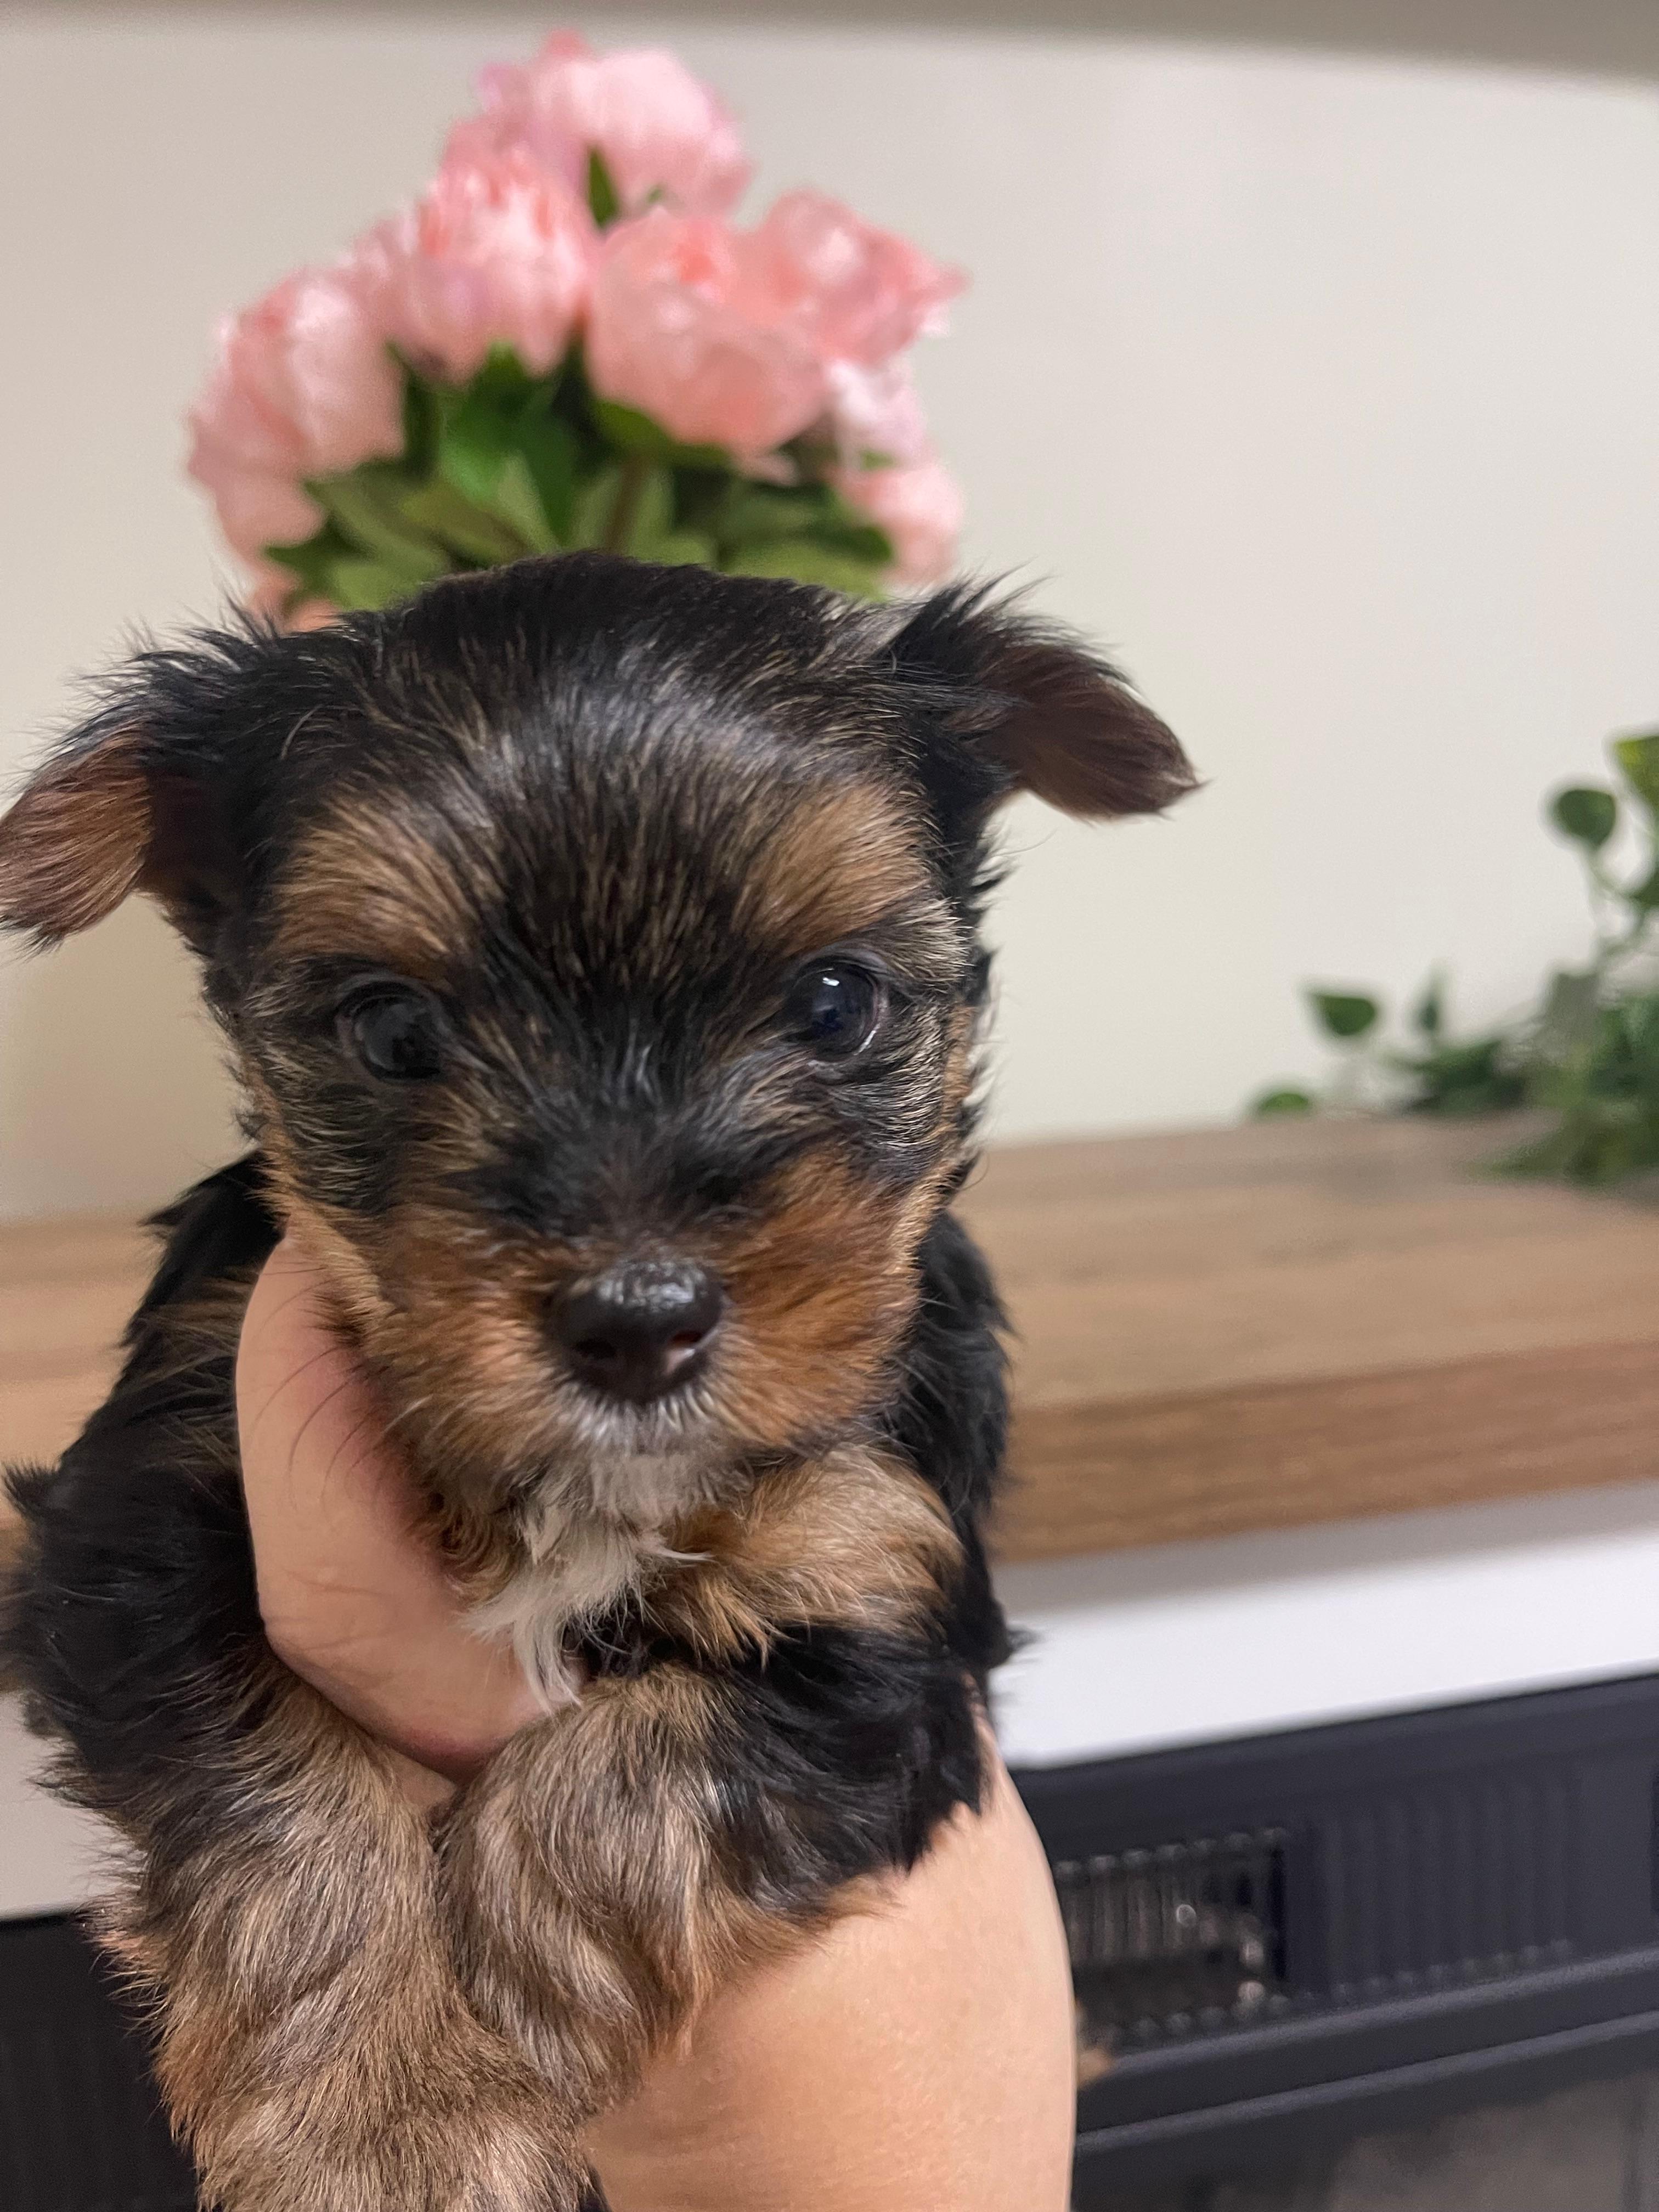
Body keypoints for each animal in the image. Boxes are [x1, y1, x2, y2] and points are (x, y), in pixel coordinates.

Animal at [0, 544, 1194, 2203]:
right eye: (391, 1027)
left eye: (836, 1003)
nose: (638, 1321)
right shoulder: (141, 1515)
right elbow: (275, 1785)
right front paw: (382, 2124)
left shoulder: (880, 1596)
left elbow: (623, 1783)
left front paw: (470, 2072)